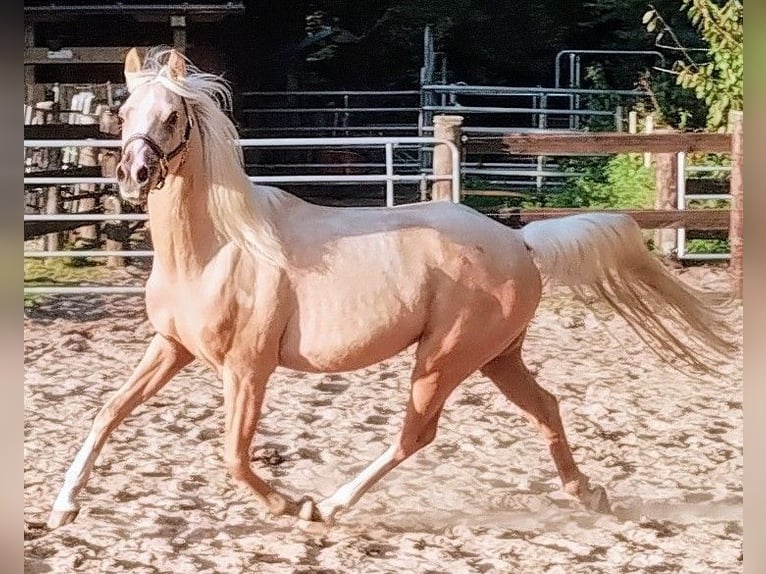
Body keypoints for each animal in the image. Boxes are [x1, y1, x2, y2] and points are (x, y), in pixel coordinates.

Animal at [46, 48, 736, 532]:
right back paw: (589, 493)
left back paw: (327, 507)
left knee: (416, 434)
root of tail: (521, 243)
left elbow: (234, 456)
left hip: (444, 358)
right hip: (495, 357)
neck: (218, 247)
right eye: (123, 114)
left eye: (172, 116)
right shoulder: (171, 348)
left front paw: (290, 504)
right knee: (545, 406)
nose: (135, 173)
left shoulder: (247, 368)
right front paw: (62, 508)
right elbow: (108, 412)